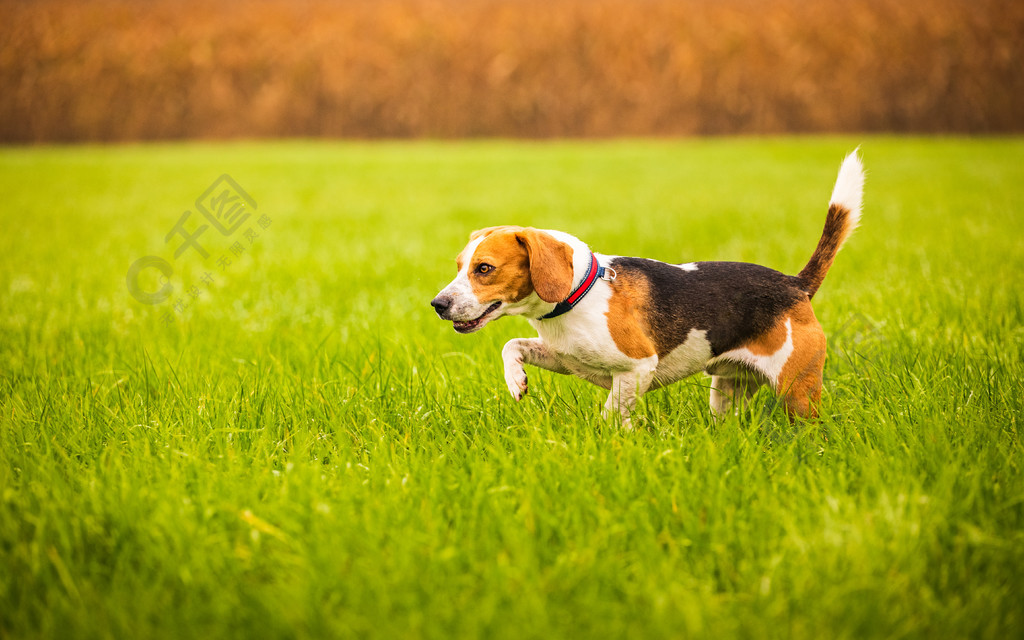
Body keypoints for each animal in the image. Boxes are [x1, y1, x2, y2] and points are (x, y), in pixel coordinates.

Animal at [428, 149, 860, 423]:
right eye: (459, 266)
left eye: (484, 268)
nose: (437, 304)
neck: (577, 298)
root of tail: (795, 284)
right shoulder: (564, 357)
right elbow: (511, 345)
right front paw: (515, 381)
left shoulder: (637, 368)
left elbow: (611, 414)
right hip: (727, 390)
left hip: (797, 389)